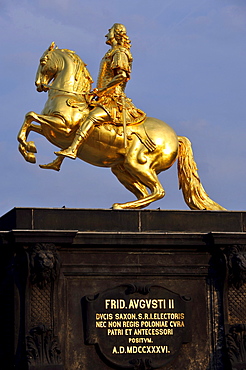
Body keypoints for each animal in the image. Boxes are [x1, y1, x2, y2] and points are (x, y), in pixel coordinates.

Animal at [17, 42, 226, 210]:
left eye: (43, 61)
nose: (38, 84)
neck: (67, 95)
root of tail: (176, 137)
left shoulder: (64, 127)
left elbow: (30, 115)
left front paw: (33, 150)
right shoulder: (51, 131)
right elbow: (30, 123)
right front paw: (30, 151)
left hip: (138, 163)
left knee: (158, 191)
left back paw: (120, 206)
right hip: (121, 168)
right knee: (145, 192)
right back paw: (123, 206)